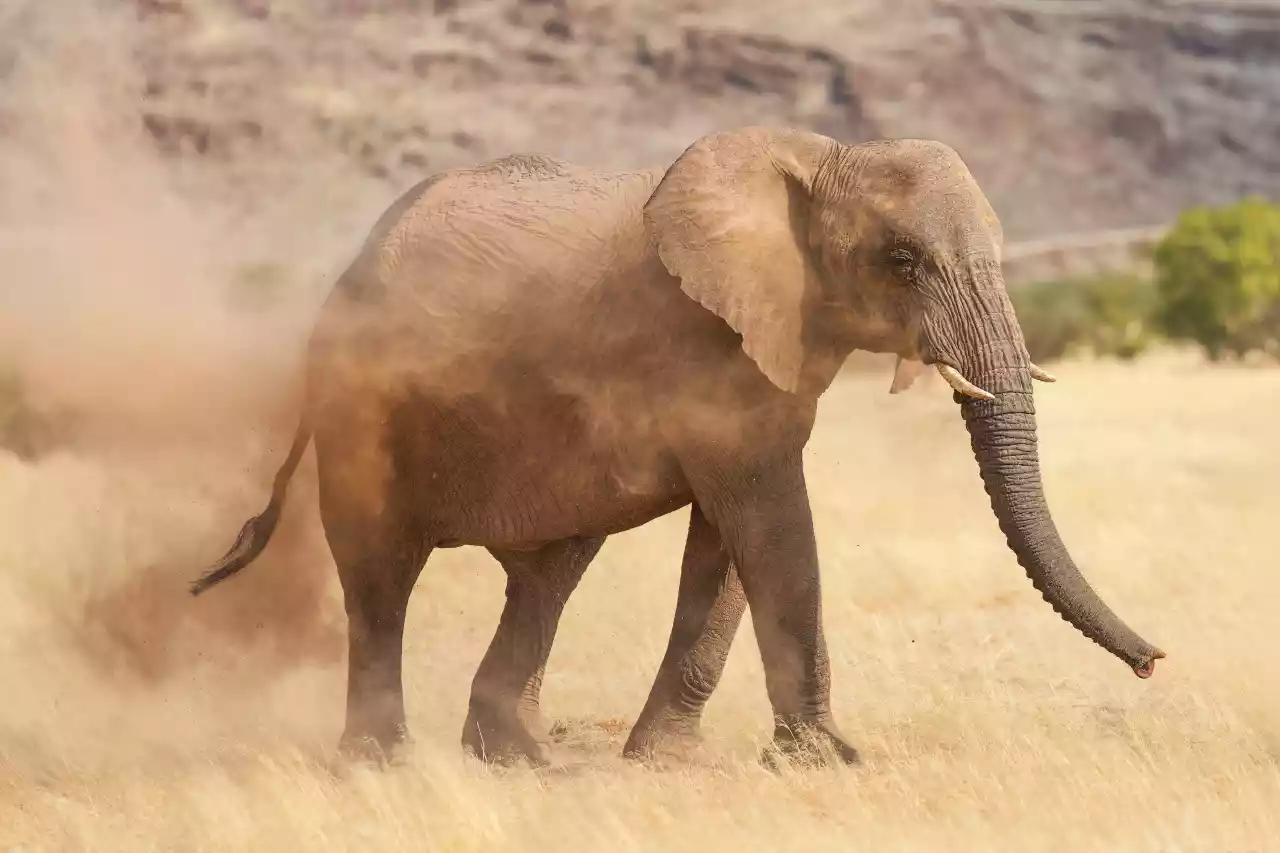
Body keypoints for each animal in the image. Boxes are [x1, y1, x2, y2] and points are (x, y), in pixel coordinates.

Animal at [187, 125, 1164, 768]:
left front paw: (666, 760)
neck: (816, 156)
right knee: (380, 576)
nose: (1154, 660)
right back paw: (382, 761)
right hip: (363, 406)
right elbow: (770, 524)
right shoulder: (708, 343)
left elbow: (730, 539)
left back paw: (519, 757)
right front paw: (830, 759)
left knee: (548, 571)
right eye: (902, 260)